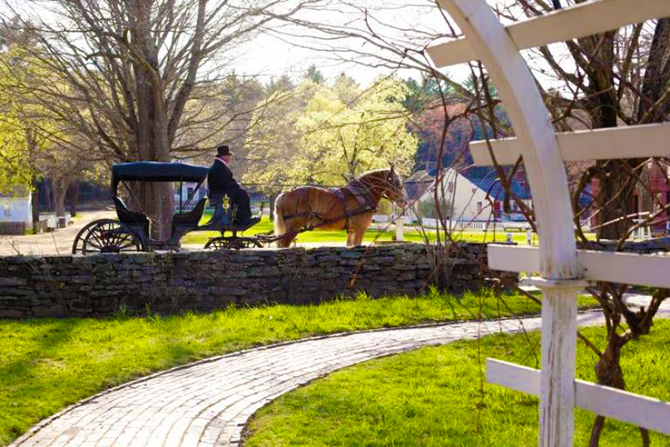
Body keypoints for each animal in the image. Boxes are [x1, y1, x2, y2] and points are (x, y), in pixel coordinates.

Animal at [272, 167, 404, 247]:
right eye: (397, 183)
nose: (403, 202)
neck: (362, 194)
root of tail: (287, 193)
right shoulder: (360, 229)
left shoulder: (351, 230)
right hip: (294, 227)